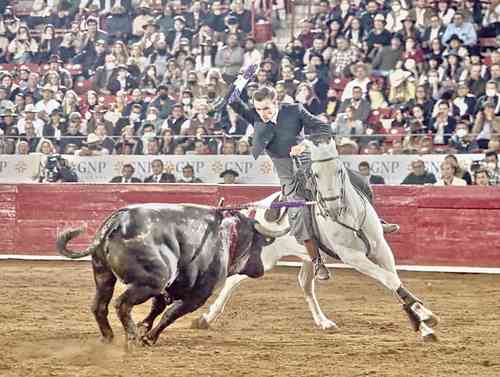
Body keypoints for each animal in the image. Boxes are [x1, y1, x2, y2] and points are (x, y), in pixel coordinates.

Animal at [55, 203, 288, 346]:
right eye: (259, 242)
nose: (260, 269)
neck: (228, 235)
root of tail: (116, 222)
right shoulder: (197, 296)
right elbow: (171, 314)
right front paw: (148, 337)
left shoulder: (168, 289)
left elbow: (157, 308)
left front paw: (144, 328)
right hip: (152, 281)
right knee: (122, 304)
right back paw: (131, 338)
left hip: (103, 275)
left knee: (99, 306)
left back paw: (109, 337)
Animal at [304, 139, 442, 340]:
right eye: (315, 174)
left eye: (339, 170)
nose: (333, 208)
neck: (350, 217)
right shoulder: (353, 257)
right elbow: (389, 279)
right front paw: (425, 316)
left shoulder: (380, 248)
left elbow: (393, 279)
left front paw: (422, 323)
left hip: (307, 259)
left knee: (306, 285)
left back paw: (324, 322)